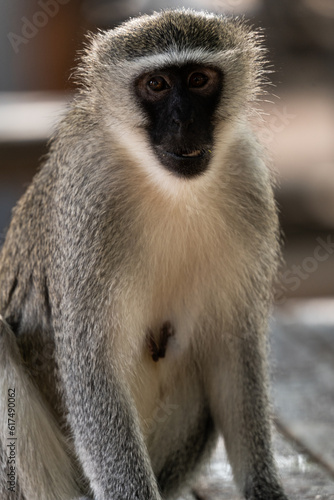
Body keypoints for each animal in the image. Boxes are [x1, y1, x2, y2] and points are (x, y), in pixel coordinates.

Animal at [0, 7, 288, 500]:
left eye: (198, 80)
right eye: (156, 85)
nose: (183, 122)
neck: (168, 188)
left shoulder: (246, 177)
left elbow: (234, 355)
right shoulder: (90, 199)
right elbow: (93, 371)